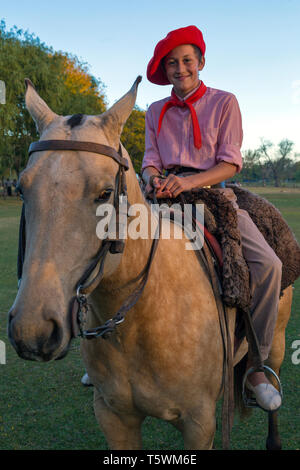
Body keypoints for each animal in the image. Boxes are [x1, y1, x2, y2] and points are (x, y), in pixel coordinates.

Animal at [8, 78, 292, 452]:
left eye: (104, 193)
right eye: (22, 188)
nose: (32, 331)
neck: (143, 315)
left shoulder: (200, 423)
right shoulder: (114, 417)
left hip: (277, 337)